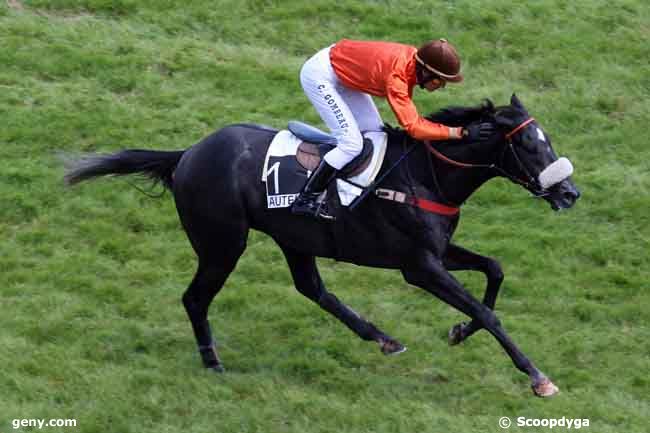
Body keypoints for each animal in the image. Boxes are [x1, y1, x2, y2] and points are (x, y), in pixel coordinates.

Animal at [64, 93, 576, 394]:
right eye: (529, 144)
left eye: (546, 140)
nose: (570, 193)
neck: (426, 175)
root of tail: (188, 153)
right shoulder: (419, 266)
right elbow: (486, 311)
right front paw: (537, 377)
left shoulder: (437, 253)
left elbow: (494, 269)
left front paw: (458, 332)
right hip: (222, 243)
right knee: (195, 298)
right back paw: (212, 362)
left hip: (292, 237)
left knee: (312, 288)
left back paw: (383, 338)